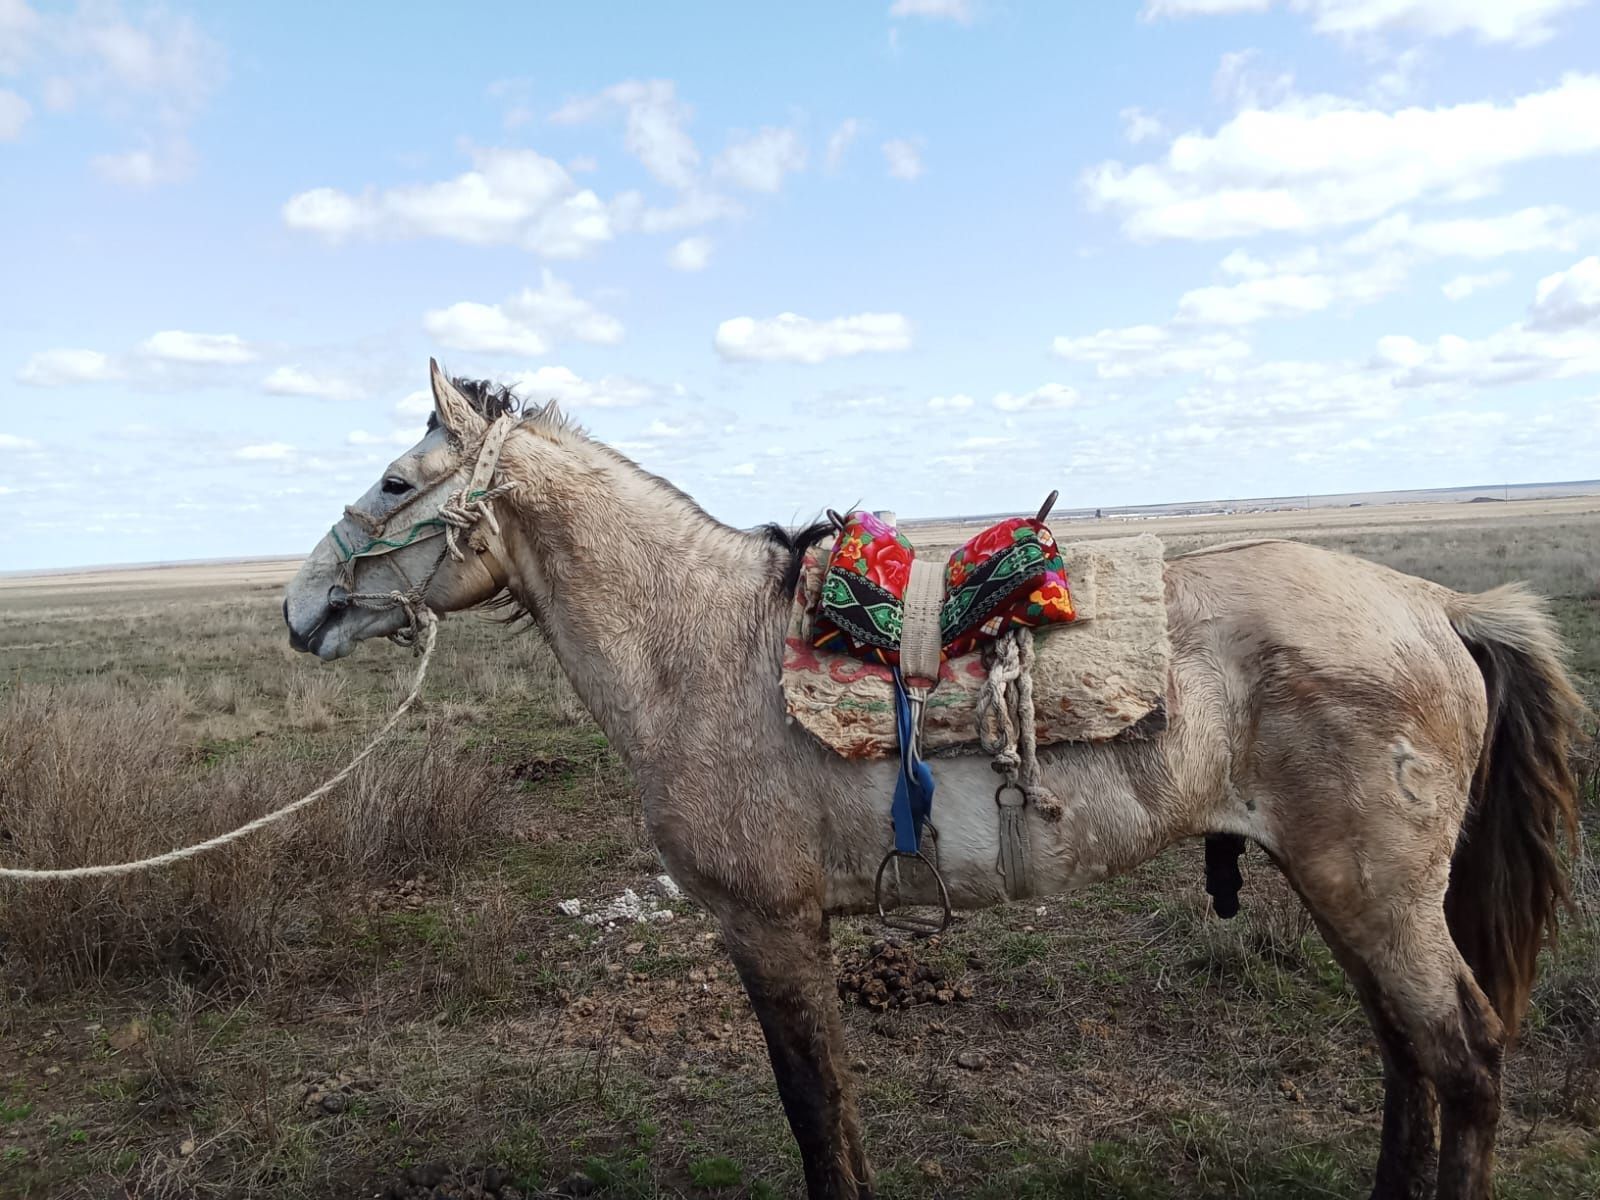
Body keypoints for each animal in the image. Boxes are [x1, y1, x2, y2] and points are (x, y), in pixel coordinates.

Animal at [281, 366, 1580, 1200]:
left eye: (394, 482)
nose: (299, 611)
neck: (693, 645)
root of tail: (1436, 605)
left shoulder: (767, 924)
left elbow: (814, 1110)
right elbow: (832, 1107)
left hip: (1375, 891)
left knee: (1464, 1060)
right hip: (1340, 889)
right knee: (1410, 1059)